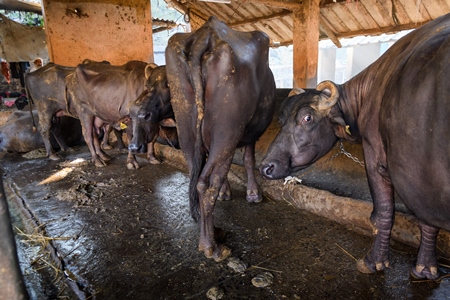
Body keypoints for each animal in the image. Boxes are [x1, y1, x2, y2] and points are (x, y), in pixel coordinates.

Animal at [167, 15, 276, 260]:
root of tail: (205, 35)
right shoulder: (249, 133)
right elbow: (248, 160)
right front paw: (253, 194)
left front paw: (227, 193)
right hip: (227, 130)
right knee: (207, 183)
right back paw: (211, 246)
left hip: (187, 128)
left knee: (197, 176)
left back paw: (214, 231)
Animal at [260, 11, 450, 278]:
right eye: (281, 118)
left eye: (307, 118)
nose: (265, 167)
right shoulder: (424, 185)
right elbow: (428, 222)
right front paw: (426, 268)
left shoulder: (379, 160)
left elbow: (383, 213)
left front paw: (374, 262)